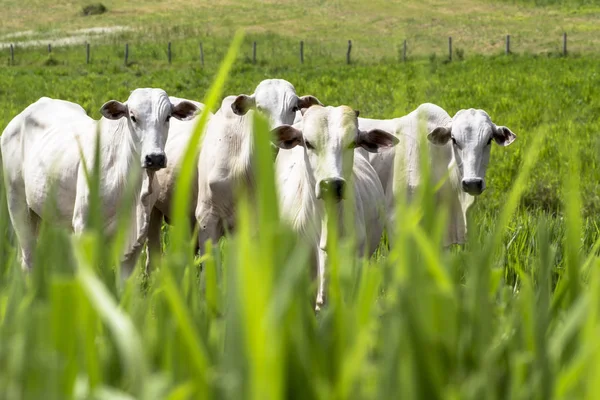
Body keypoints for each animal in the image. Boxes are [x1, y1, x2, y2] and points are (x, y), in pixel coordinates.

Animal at [0, 88, 197, 276]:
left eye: (168, 117)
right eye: (133, 117)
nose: (154, 158)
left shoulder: (135, 240)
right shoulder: (83, 229)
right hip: (17, 205)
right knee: (28, 259)